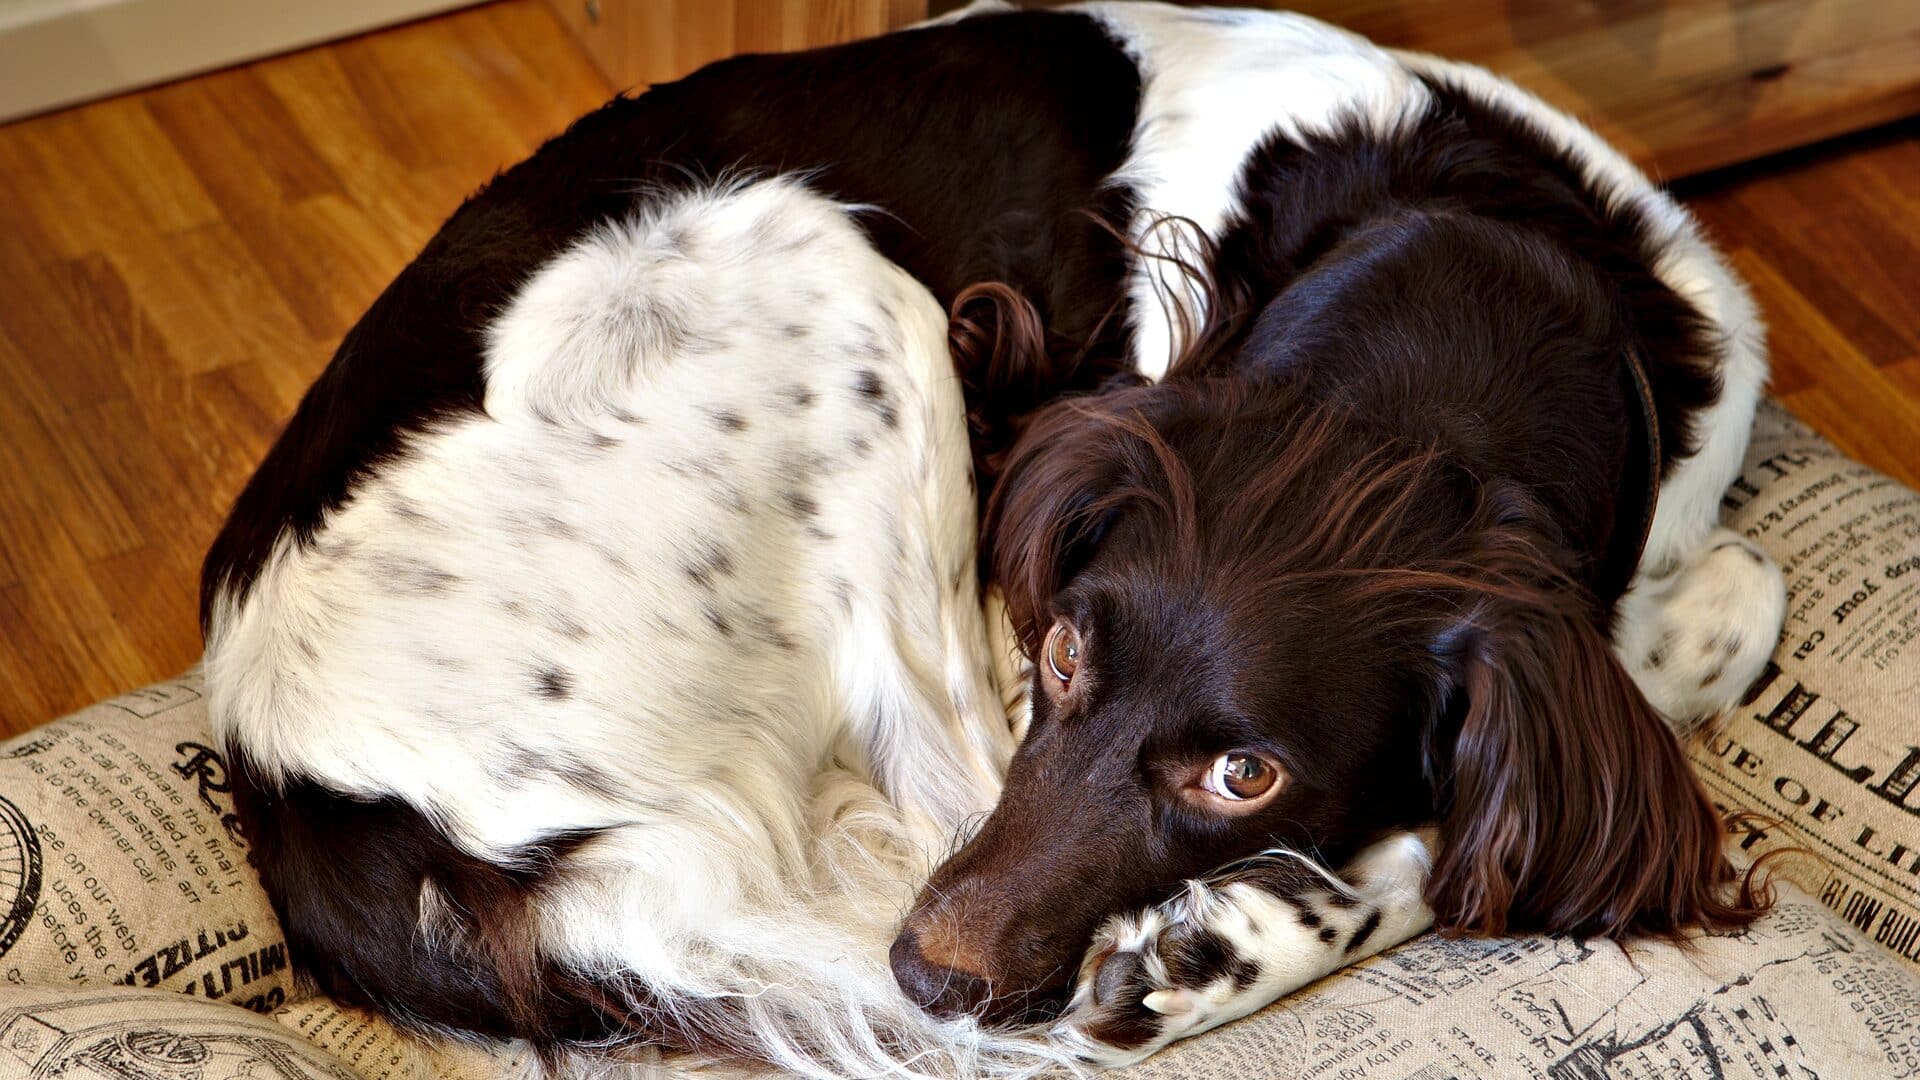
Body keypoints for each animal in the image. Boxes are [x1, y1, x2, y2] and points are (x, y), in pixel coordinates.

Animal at [202, 4, 1774, 1068]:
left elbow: (1702, 620)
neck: (1487, 268)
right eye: (1065, 650)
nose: (931, 980)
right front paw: (1230, 940)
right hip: (830, 270)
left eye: (1245, 774)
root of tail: (299, 782)